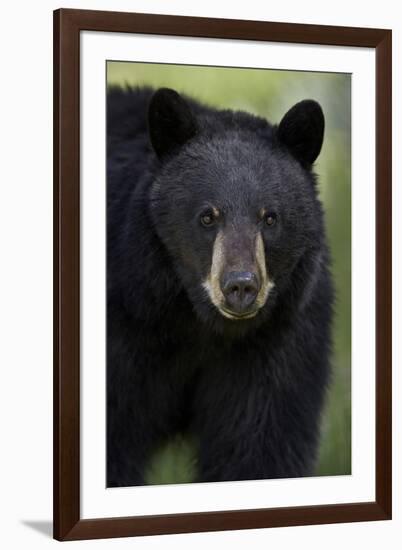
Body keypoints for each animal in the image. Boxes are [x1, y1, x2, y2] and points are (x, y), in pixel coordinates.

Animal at [107, 86, 332, 488]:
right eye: (208, 216)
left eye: (270, 217)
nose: (240, 286)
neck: (198, 324)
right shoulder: (125, 320)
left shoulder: (281, 337)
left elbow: (260, 443)